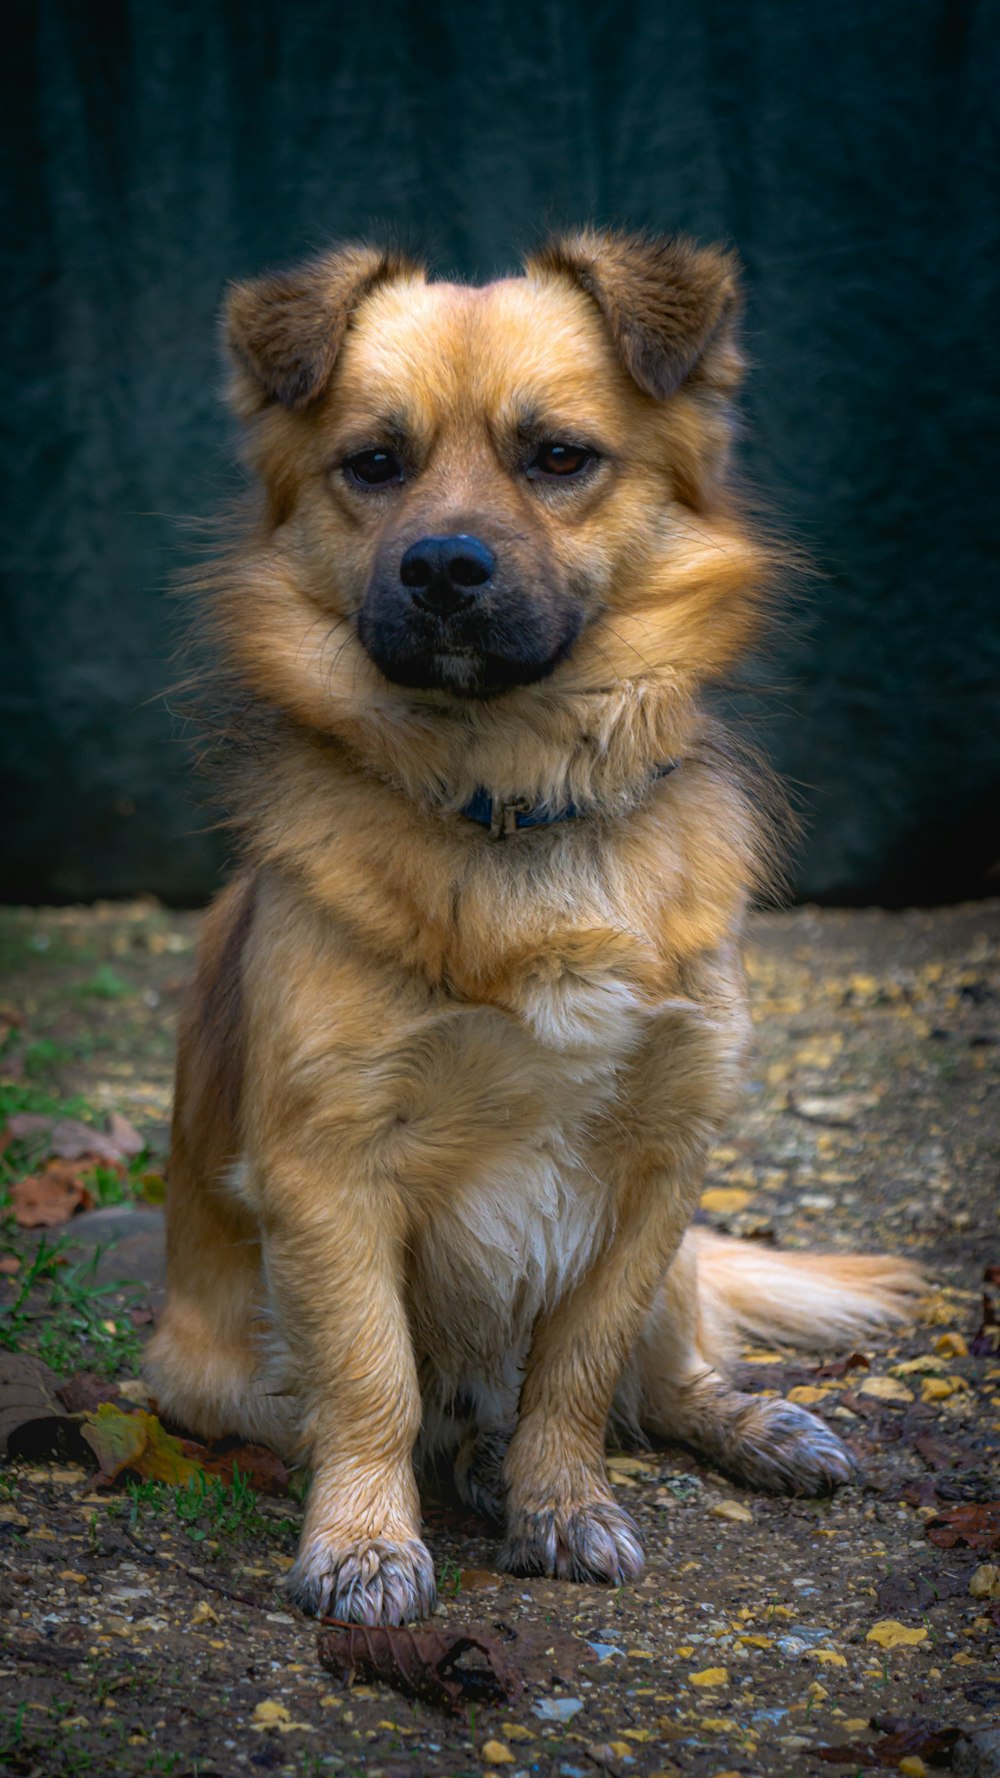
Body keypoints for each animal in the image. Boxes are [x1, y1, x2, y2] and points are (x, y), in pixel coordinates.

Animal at [145, 232, 918, 1628]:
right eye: (374, 464)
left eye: (558, 455)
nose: (442, 566)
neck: (512, 800)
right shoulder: (327, 1165)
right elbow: (372, 1377)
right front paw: (363, 1540)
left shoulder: (658, 1161)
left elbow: (581, 1367)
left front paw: (562, 1503)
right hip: (205, 1371)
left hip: (676, 1268)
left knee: (668, 1371)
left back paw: (748, 1427)